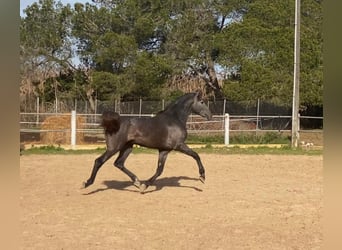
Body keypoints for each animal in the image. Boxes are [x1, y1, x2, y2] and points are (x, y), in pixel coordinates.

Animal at [82, 90, 211, 193]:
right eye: (202, 102)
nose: (210, 115)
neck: (175, 119)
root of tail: (113, 123)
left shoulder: (164, 150)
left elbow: (159, 170)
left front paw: (144, 185)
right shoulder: (179, 145)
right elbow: (196, 155)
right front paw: (202, 176)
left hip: (127, 147)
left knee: (119, 163)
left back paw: (137, 182)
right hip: (114, 147)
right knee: (99, 161)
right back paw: (87, 183)